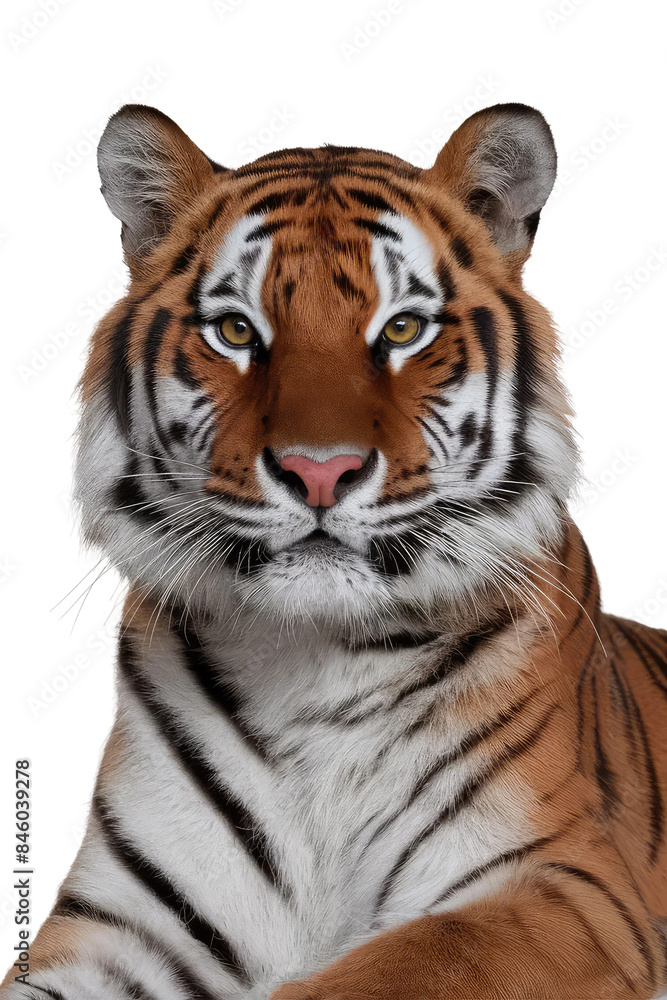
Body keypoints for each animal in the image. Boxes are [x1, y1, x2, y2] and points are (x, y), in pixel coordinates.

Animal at [3, 99, 667, 1000]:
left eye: (403, 328)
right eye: (236, 330)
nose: (320, 471)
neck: (314, 667)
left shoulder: (567, 890)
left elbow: (388, 967)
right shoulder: (117, 925)